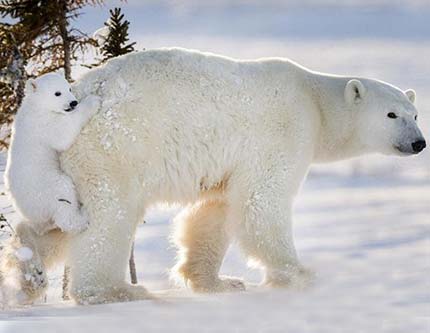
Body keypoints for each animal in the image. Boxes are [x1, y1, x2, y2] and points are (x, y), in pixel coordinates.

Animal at [20, 46, 426, 304]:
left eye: (415, 113)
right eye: (392, 114)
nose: (419, 142)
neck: (315, 101)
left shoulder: (229, 163)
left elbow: (215, 210)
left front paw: (217, 281)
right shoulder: (284, 131)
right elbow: (261, 204)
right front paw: (300, 274)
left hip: (65, 166)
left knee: (59, 218)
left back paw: (27, 268)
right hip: (112, 148)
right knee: (107, 218)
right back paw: (114, 291)